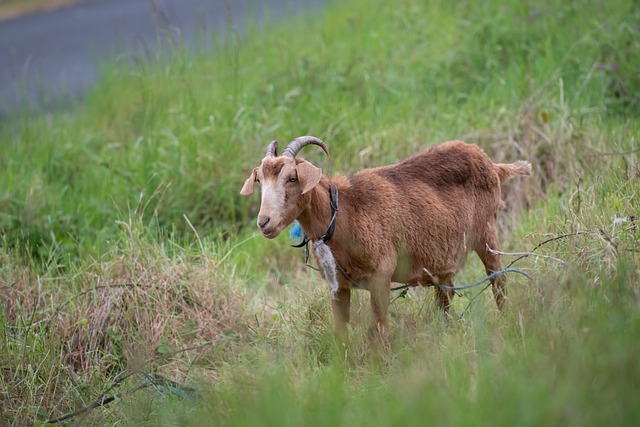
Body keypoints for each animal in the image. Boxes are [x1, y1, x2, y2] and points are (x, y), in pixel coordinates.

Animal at [240, 137, 528, 344]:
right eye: (259, 180)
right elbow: (341, 335)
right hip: (443, 260)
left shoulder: (381, 276)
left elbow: (378, 330)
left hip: (486, 232)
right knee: (446, 296)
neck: (342, 214)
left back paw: (507, 324)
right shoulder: (337, 287)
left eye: (292, 178)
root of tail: (492, 164)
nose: (264, 222)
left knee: (498, 281)